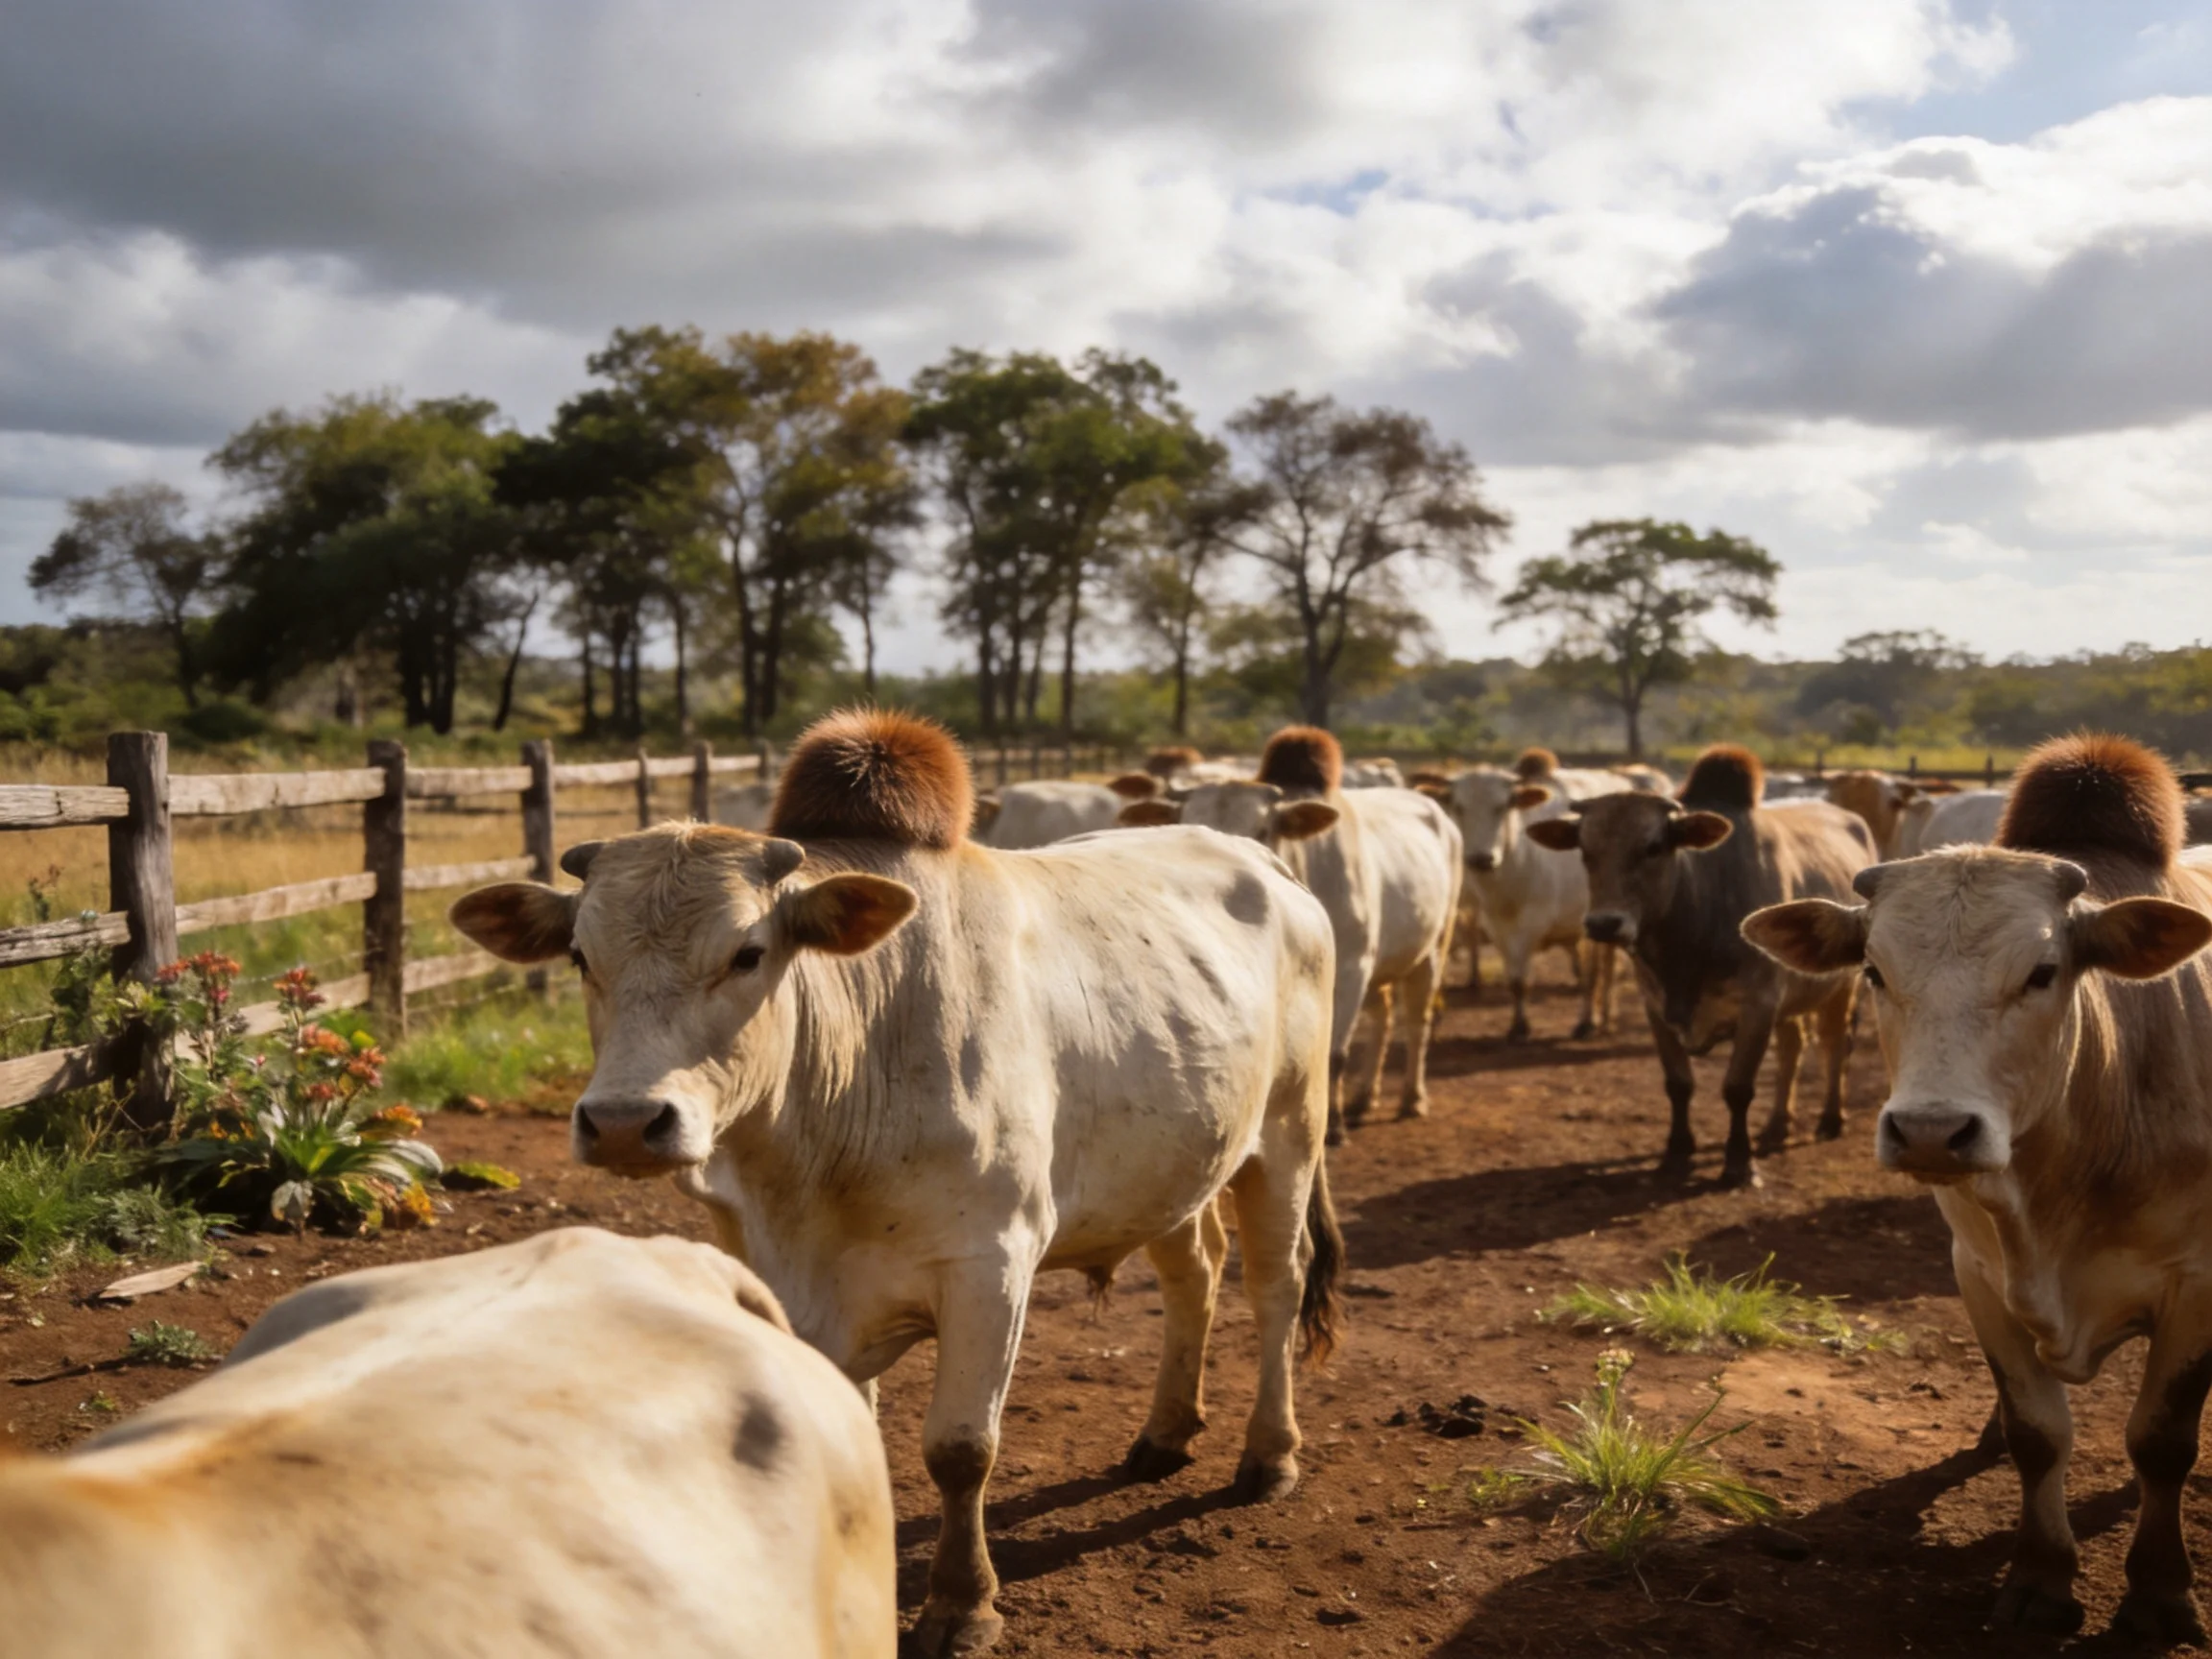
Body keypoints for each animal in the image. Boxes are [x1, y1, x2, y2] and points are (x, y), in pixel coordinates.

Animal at [1119, 726, 1460, 1139]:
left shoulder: (1352, 969)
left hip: (1434, 948)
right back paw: (1364, 1098)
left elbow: (1335, 1054)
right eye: (1183, 823)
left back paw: (1412, 1097)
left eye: (1263, 829)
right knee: (1383, 1017)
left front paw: (1334, 1127)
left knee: (1417, 1020)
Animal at [1427, 766, 1627, 1041]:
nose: (1481, 858)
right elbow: (1516, 981)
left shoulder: (1535, 928)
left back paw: (1595, 1018)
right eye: (1458, 806)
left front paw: (1582, 1023)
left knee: (1600, 971)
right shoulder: (1499, 932)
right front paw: (1518, 1025)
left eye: (1504, 805)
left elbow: (1581, 976)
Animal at [1525, 745, 1874, 1186]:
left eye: (1654, 846)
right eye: (1585, 851)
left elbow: (1738, 1088)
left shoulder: (1758, 1006)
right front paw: (1677, 1150)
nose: (1604, 924)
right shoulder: (1656, 1008)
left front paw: (1739, 1162)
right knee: (1792, 1047)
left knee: (1834, 1045)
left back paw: (1830, 1118)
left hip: (1841, 989)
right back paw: (1778, 1123)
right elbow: (1679, 1083)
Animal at [1741, 735, 2212, 1642]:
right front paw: (2041, 1577)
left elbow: (2162, 1441)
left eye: (2044, 971)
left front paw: (2159, 1593)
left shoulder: (2198, 1286)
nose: (1931, 1131)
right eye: (1873, 971)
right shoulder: (1979, 1272)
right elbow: (2038, 1436)